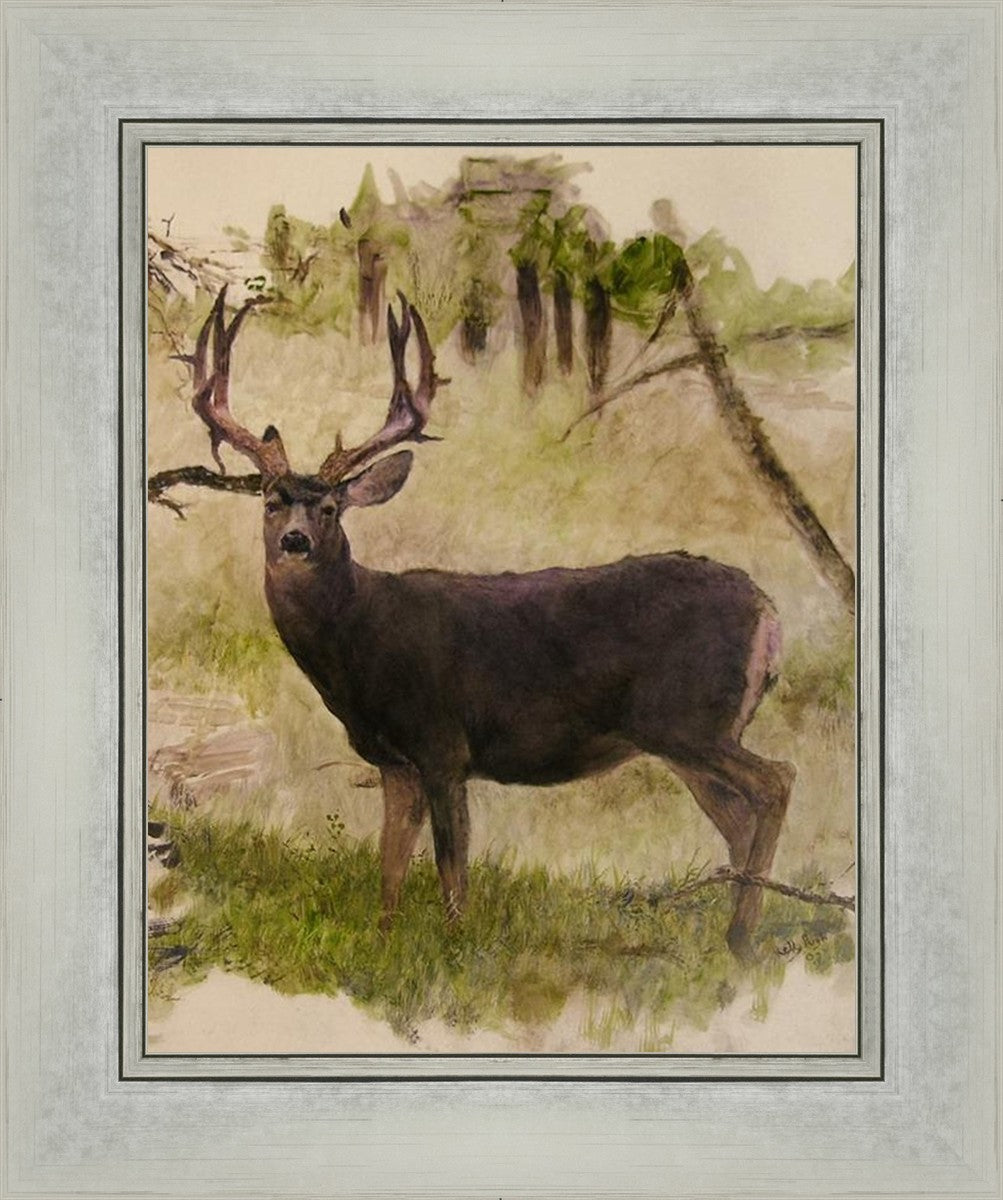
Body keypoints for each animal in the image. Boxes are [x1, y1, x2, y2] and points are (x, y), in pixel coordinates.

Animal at [176, 286, 795, 960]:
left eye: (331, 508)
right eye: (271, 501)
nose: (295, 541)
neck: (361, 644)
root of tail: (770, 612)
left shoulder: (444, 743)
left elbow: (452, 871)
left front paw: (452, 949)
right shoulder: (396, 763)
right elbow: (390, 867)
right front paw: (384, 944)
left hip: (689, 718)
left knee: (776, 780)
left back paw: (742, 935)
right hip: (682, 735)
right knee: (738, 817)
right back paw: (735, 938)